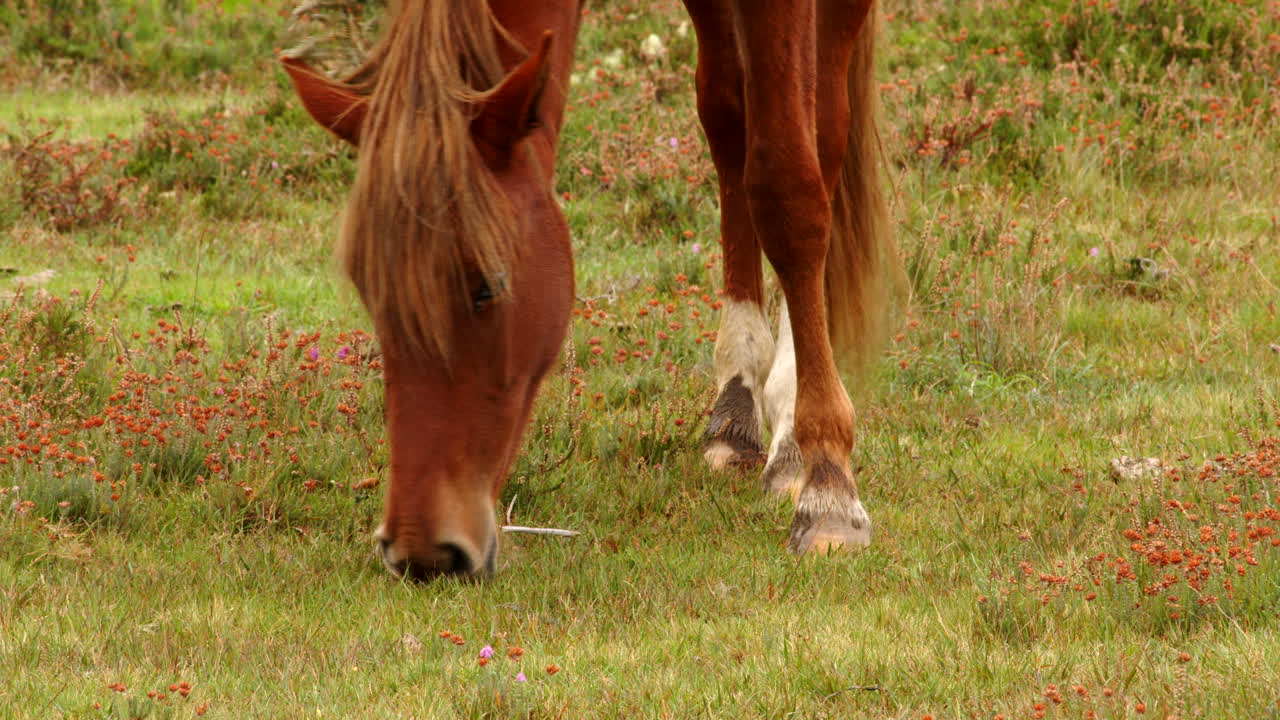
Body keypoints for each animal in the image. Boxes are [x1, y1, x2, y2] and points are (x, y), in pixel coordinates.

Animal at [281, 0, 893, 579]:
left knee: (820, 126)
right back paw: (739, 404)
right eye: (371, 295)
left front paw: (829, 489)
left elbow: (789, 183)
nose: (422, 550)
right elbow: (729, 121)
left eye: (488, 286)